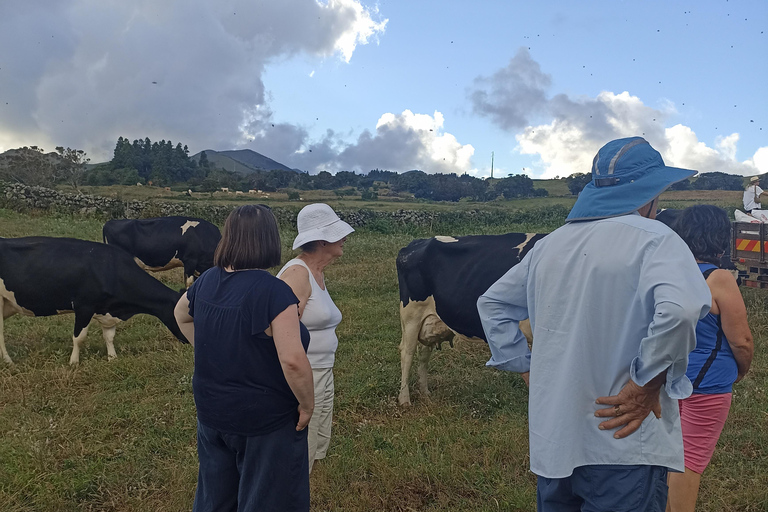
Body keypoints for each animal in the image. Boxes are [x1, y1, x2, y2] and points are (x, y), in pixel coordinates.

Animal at [0, 236, 188, 364]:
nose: (190, 343)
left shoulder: (108, 309)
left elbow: (109, 336)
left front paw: (112, 357)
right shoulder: (84, 306)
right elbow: (79, 337)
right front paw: (73, 362)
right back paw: (9, 361)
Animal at [396, 232, 544, 404]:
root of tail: (417, 243)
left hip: (428, 321)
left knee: (424, 353)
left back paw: (425, 392)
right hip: (411, 315)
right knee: (407, 352)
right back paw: (405, 399)